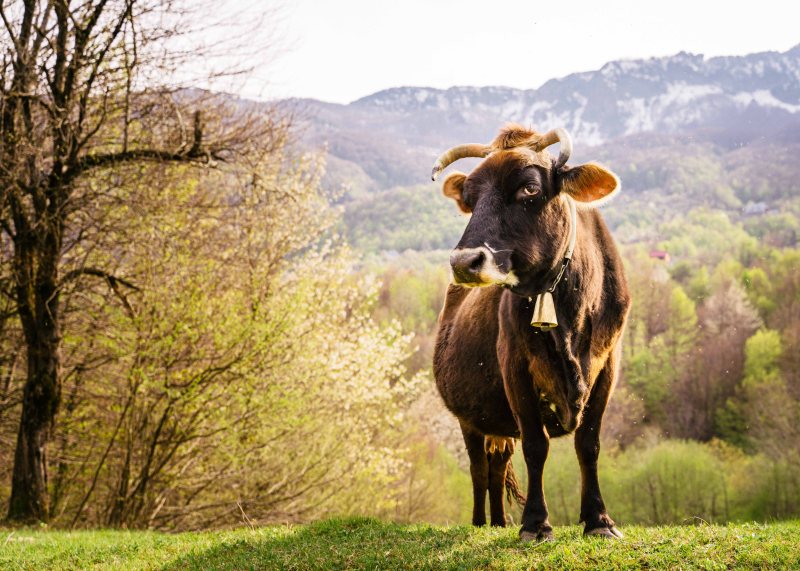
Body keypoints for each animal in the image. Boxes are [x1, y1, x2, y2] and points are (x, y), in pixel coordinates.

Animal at [431, 124, 630, 542]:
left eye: (529, 188)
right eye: (470, 198)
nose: (463, 262)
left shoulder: (608, 366)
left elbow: (589, 443)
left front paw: (599, 519)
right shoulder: (515, 367)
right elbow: (536, 447)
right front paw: (537, 523)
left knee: (497, 464)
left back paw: (498, 522)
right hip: (468, 418)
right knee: (479, 468)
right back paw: (481, 523)